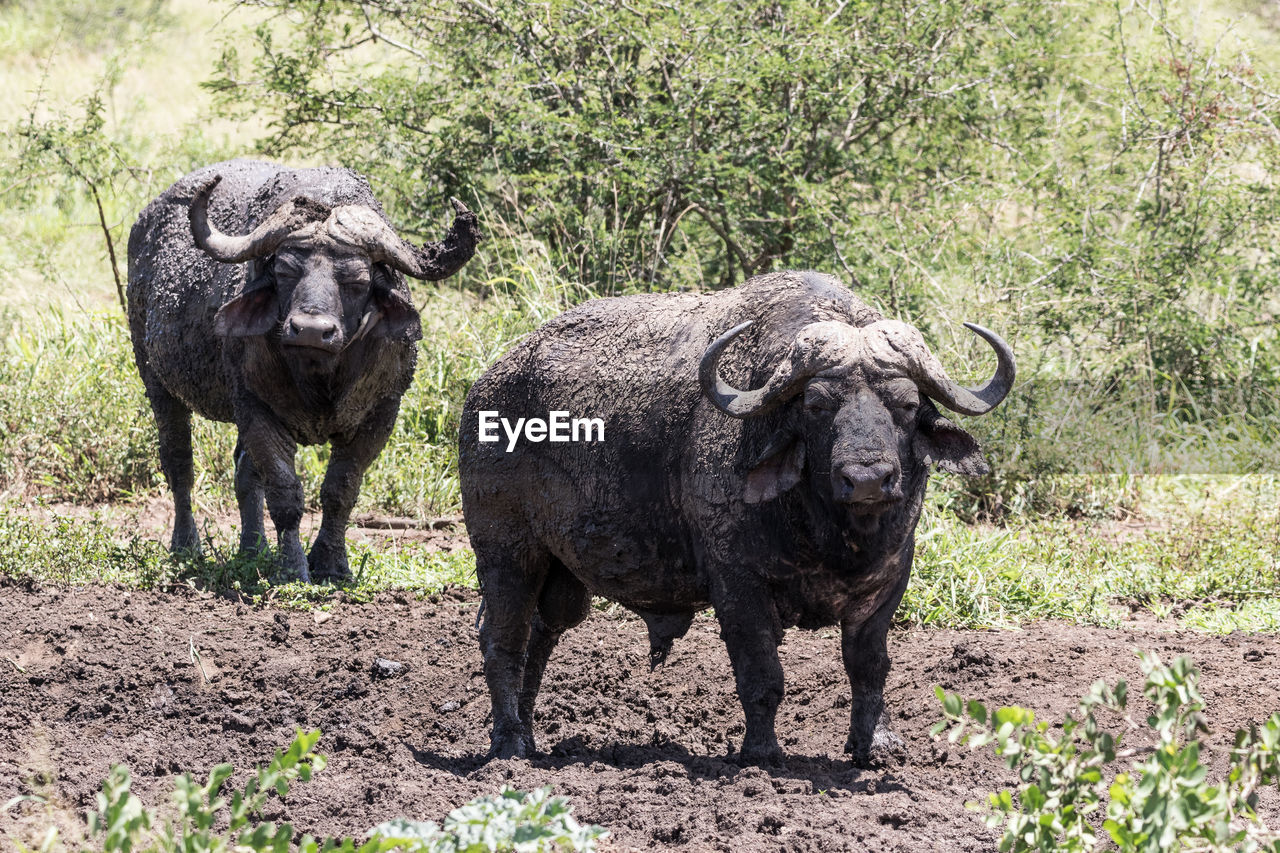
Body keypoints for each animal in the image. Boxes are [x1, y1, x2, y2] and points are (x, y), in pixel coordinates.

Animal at [128, 156, 481, 581]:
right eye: (284, 271)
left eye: (357, 279)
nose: (311, 329)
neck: (321, 376)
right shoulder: (255, 408)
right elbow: (285, 492)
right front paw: (292, 568)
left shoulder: (381, 413)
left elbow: (340, 490)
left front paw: (332, 565)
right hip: (155, 378)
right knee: (179, 463)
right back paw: (185, 546)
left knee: (244, 473)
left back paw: (253, 550)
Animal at [460, 270, 1008, 763]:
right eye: (817, 405)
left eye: (907, 404)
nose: (868, 478)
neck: (830, 532)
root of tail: (486, 388)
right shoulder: (737, 584)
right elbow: (762, 673)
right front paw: (761, 751)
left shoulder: (889, 581)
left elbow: (869, 666)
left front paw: (876, 744)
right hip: (506, 551)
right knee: (502, 638)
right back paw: (509, 744)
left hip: (562, 574)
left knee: (542, 632)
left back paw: (528, 734)